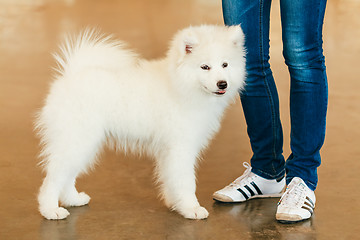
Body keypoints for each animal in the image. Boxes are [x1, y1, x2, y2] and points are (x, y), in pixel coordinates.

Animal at [35, 25, 245, 220]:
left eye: (225, 64)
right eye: (205, 67)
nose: (222, 84)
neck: (180, 86)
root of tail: (70, 76)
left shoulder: (168, 150)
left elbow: (171, 178)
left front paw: (174, 203)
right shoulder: (181, 147)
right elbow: (186, 180)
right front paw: (191, 208)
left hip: (82, 143)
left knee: (67, 175)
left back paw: (73, 199)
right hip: (78, 140)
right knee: (53, 178)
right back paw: (50, 210)